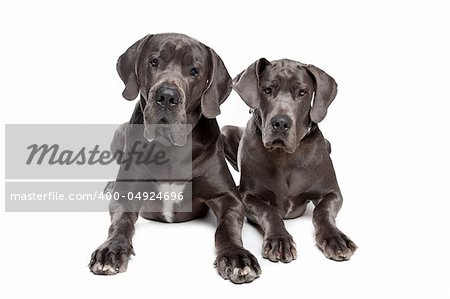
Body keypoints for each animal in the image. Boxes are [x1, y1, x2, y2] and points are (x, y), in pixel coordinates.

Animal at [89, 34, 260, 284]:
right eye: (154, 62)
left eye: (194, 71)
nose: (167, 96)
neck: (170, 147)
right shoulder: (126, 195)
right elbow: (121, 223)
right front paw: (111, 249)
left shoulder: (227, 197)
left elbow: (226, 227)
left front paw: (237, 257)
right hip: (119, 132)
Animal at [223, 59, 356, 264]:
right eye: (267, 90)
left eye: (302, 92)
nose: (281, 123)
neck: (284, 155)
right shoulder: (248, 197)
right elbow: (269, 212)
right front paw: (279, 240)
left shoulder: (332, 193)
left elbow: (322, 211)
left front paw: (335, 238)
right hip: (225, 130)